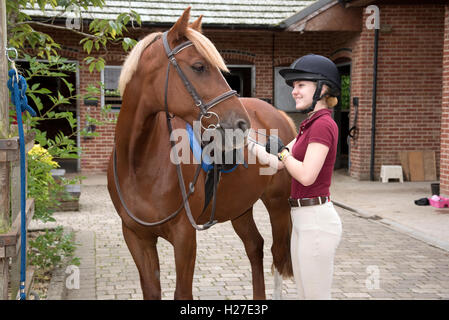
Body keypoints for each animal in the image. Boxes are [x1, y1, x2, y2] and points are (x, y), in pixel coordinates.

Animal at [108, 6, 296, 300]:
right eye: (199, 66)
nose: (242, 123)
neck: (138, 162)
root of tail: (277, 113)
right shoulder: (136, 237)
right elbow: (151, 290)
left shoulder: (185, 237)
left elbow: (182, 293)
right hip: (240, 207)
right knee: (255, 246)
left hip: (277, 204)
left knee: (277, 255)